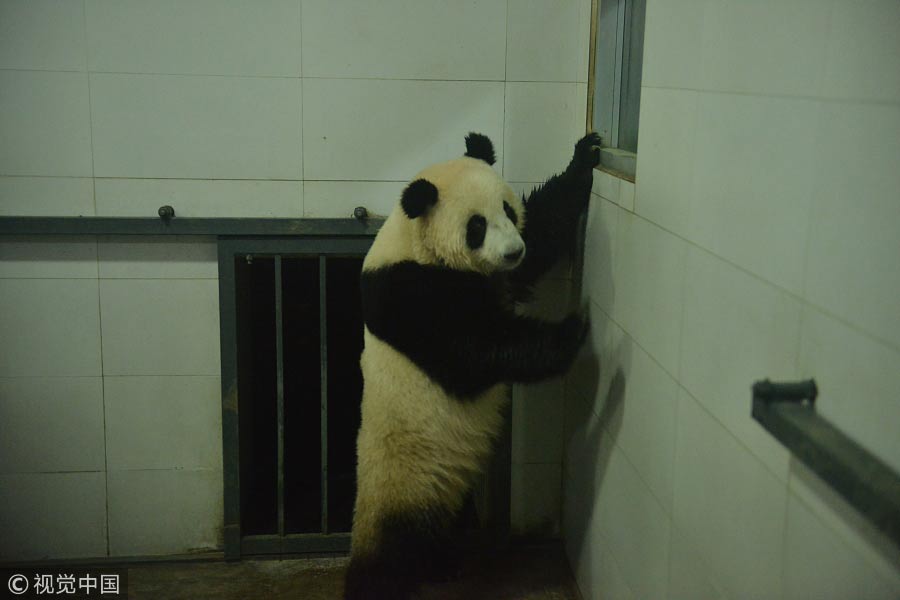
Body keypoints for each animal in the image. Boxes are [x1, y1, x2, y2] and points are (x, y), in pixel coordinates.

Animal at [345, 131, 600, 600]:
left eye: (507, 209)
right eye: (476, 226)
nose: (513, 251)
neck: (415, 243)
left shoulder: (498, 274)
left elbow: (544, 228)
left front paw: (585, 155)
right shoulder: (404, 293)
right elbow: (472, 353)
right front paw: (571, 329)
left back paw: (446, 564)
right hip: (402, 487)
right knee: (393, 551)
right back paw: (385, 580)